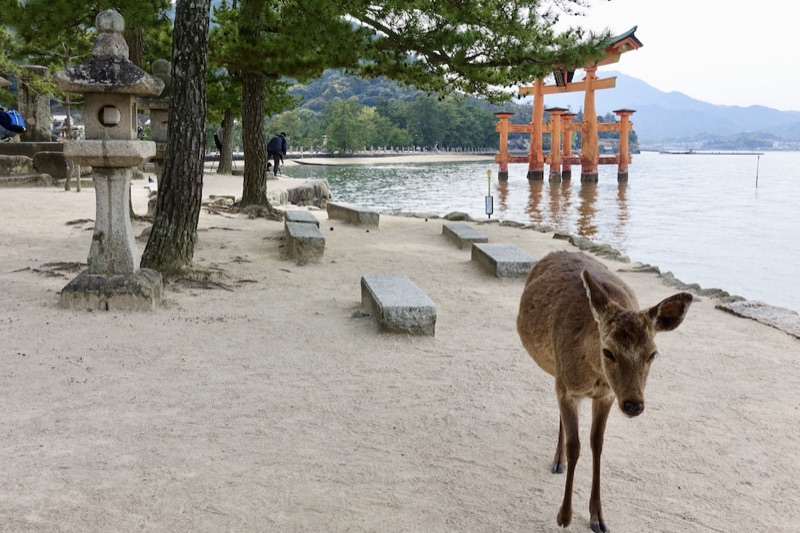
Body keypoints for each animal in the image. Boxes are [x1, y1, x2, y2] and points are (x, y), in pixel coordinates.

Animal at [516, 251, 692, 533]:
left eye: (653, 354)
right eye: (608, 351)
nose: (633, 405)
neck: (593, 377)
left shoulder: (607, 397)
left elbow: (596, 445)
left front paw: (598, 518)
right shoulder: (567, 388)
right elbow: (575, 446)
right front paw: (564, 516)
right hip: (556, 372)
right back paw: (558, 461)